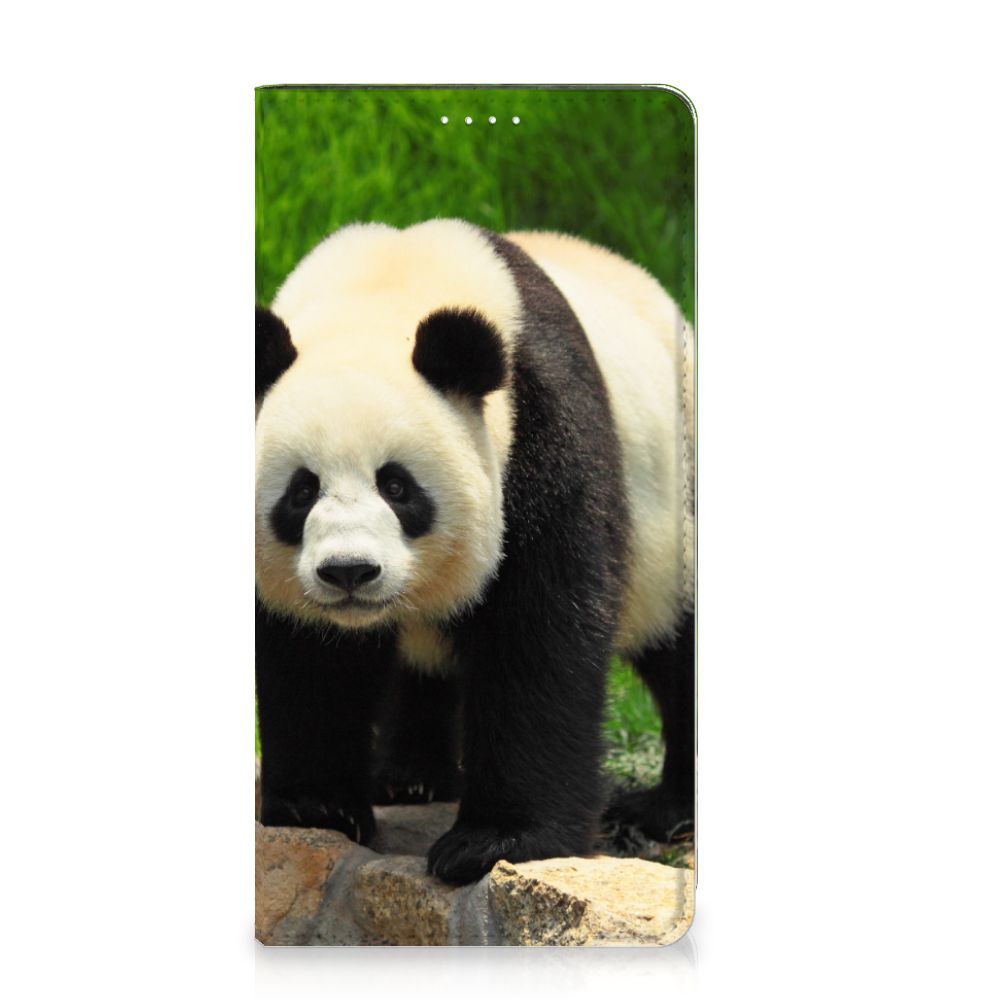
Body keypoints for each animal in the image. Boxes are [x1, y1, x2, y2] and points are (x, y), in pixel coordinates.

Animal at [255, 219, 694, 886]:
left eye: (397, 486)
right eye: (301, 491)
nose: (350, 572)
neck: (383, 289)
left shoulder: (541, 431)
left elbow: (538, 634)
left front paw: (494, 841)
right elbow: (308, 655)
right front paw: (317, 805)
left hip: (677, 512)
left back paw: (665, 810)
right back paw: (409, 777)